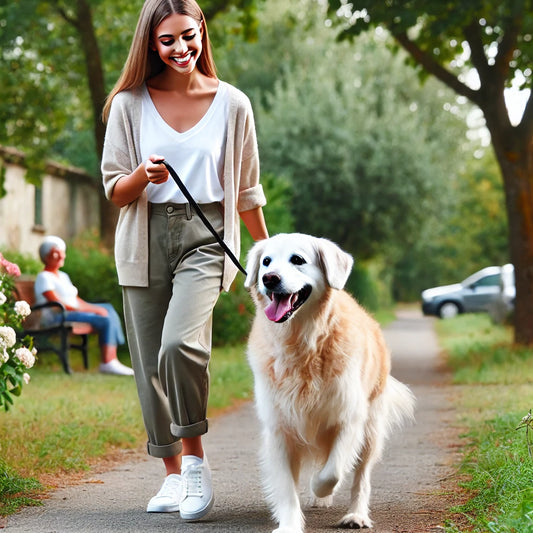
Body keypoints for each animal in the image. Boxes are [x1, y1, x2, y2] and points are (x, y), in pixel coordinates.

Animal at [245, 234, 416, 532]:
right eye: (266, 261)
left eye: (297, 259)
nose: (269, 278)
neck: (301, 344)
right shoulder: (279, 428)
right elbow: (286, 488)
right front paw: (290, 524)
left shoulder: (349, 419)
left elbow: (332, 471)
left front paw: (319, 489)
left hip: (371, 430)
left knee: (361, 478)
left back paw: (355, 515)